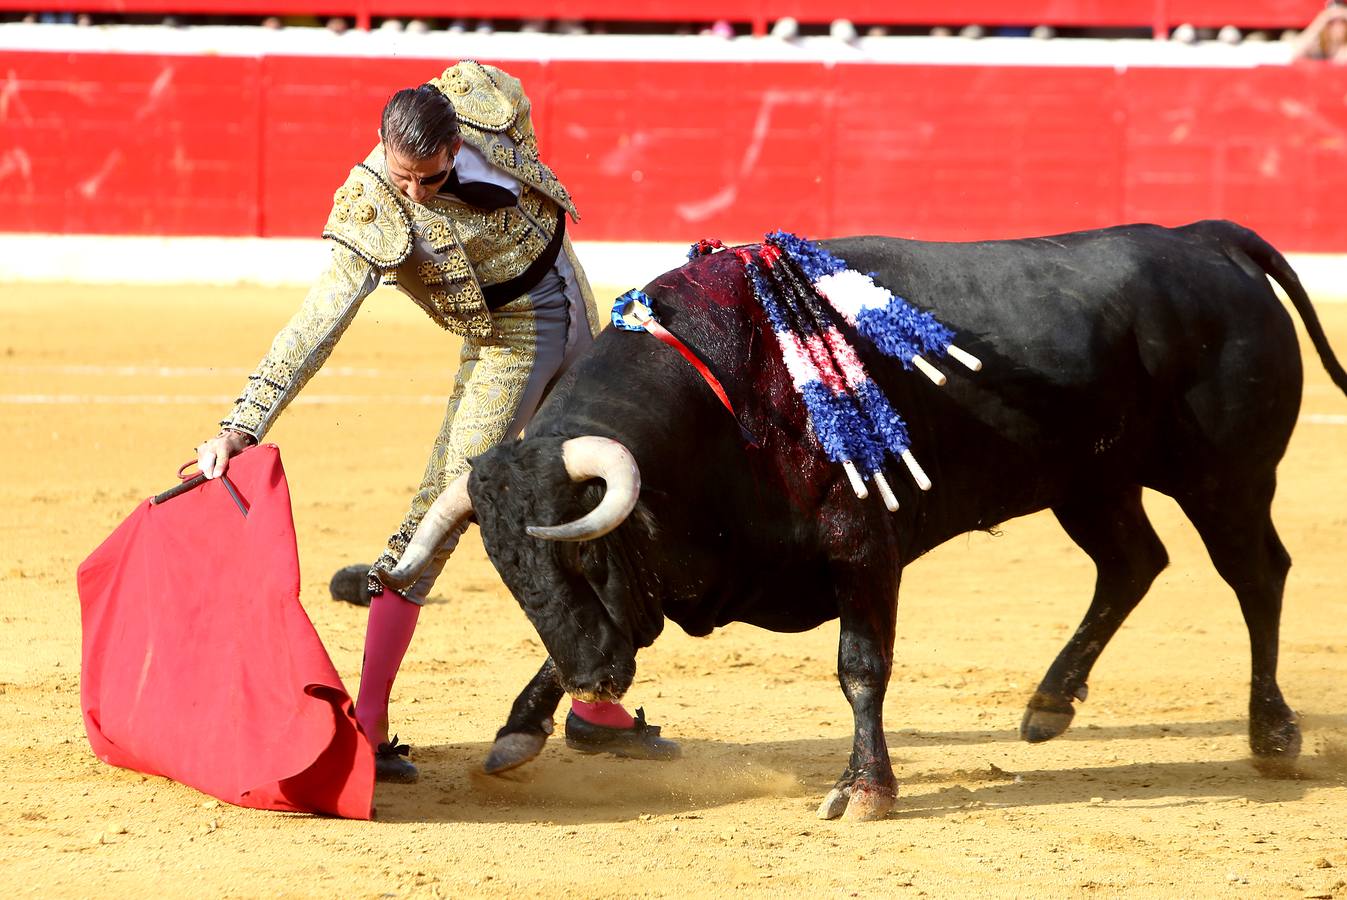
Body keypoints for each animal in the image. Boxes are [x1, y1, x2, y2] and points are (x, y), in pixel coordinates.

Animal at [379, 219, 1347, 824]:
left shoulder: (863, 548)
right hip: (1089, 483)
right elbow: (602, 634)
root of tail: (1204, 240)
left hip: (1225, 478)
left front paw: (867, 790)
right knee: (1132, 563)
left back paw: (1272, 734)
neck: (724, 394)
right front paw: (518, 729)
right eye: (511, 576)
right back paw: (1046, 705)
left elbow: (859, 667)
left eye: (586, 557)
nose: (597, 681)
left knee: (1254, 575)